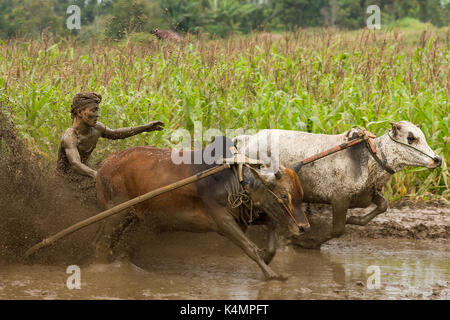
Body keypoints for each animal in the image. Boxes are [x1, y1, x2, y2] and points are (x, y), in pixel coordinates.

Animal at [95, 136, 310, 278]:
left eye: (300, 196)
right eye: (284, 195)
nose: (304, 227)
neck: (236, 178)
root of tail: (104, 164)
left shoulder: (245, 215)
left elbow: (272, 226)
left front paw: (268, 257)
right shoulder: (223, 221)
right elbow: (250, 247)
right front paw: (273, 275)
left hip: (131, 214)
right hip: (114, 213)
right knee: (101, 241)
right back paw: (103, 266)